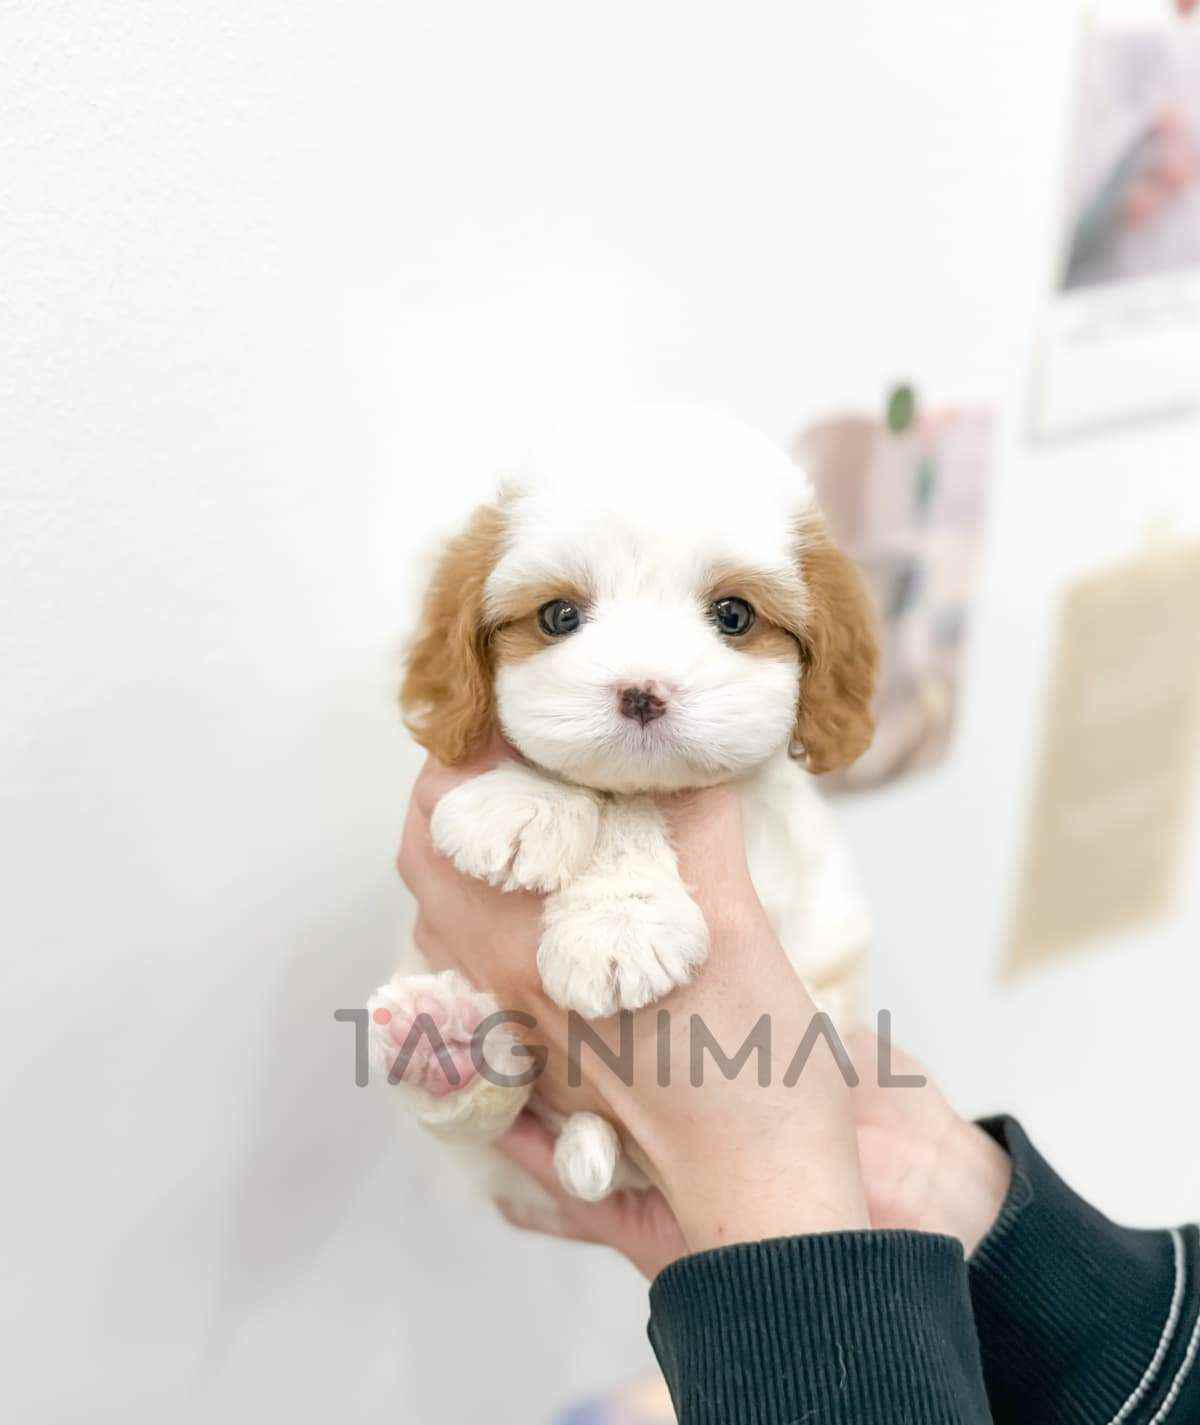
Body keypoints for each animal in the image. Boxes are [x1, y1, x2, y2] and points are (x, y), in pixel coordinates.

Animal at [368, 406, 878, 1211]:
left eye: (734, 615)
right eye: (558, 616)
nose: (642, 693)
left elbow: (639, 811)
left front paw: (616, 925)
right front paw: (528, 801)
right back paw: (444, 1049)